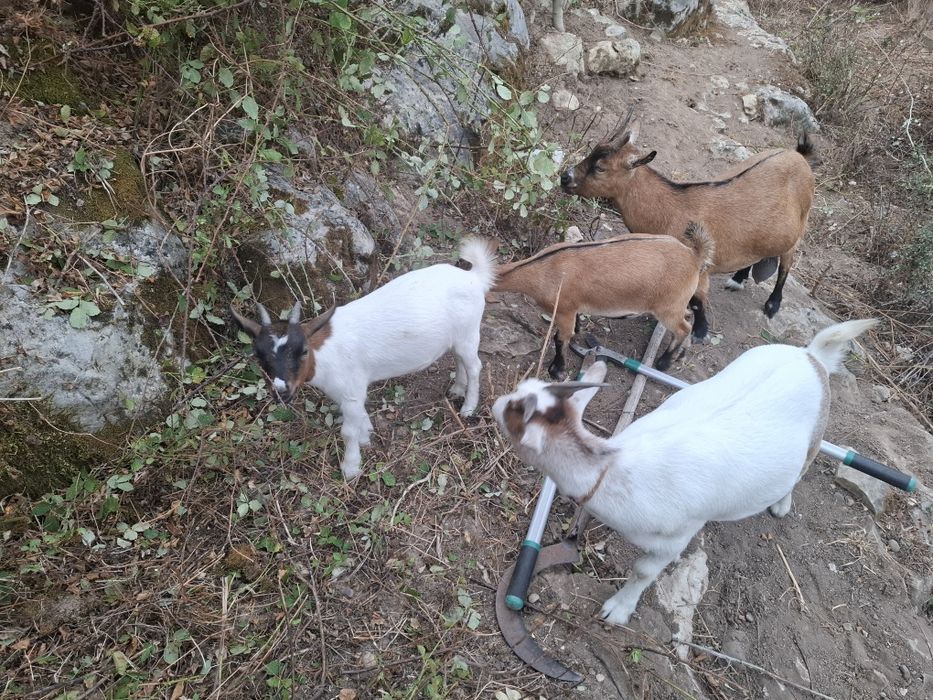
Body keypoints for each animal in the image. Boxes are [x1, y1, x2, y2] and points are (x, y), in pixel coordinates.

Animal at [231, 237, 497, 481]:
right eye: (259, 354)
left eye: (304, 350)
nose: (281, 390)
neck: (325, 354)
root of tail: (474, 277)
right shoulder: (348, 393)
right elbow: (359, 417)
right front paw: (366, 435)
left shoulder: (351, 390)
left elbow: (347, 431)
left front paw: (351, 468)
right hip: (457, 338)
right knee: (460, 360)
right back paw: (457, 389)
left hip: (468, 333)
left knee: (475, 366)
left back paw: (468, 407)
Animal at [492, 223, 714, 378]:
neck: (542, 269)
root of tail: (693, 255)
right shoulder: (572, 308)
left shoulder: (563, 310)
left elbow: (561, 339)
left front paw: (557, 370)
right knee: (691, 312)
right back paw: (683, 353)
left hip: (668, 308)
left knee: (683, 328)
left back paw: (664, 362)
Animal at [492, 318, 876, 626]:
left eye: (513, 414)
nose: (495, 402)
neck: (615, 470)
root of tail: (811, 357)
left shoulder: (677, 534)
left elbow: (644, 570)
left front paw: (618, 610)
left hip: (814, 437)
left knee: (800, 470)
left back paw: (781, 504)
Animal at [560, 113, 815, 337]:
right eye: (592, 151)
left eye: (600, 167)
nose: (564, 177)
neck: (672, 210)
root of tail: (799, 156)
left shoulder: (700, 268)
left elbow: (697, 303)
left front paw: (698, 332)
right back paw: (738, 279)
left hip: (801, 225)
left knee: (786, 264)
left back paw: (772, 305)